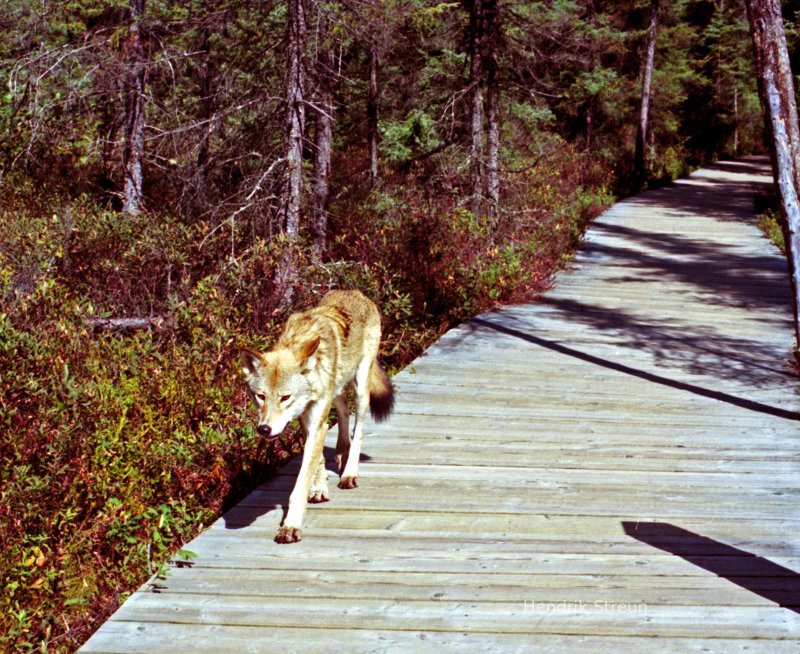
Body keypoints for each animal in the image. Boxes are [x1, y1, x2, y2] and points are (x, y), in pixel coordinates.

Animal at [241, 290, 396, 544]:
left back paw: (349, 472)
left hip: (361, 388)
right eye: (260, 397)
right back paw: (342, 452)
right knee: (344, 413)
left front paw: (290, 526)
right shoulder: (306, 419)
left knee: (358, 430)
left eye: (285, 397)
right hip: (337, 391)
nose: (264, 429)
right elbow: (318, 460)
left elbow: (301, 481)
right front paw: (320, 488)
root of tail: (356, 292)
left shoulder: (317, 423)